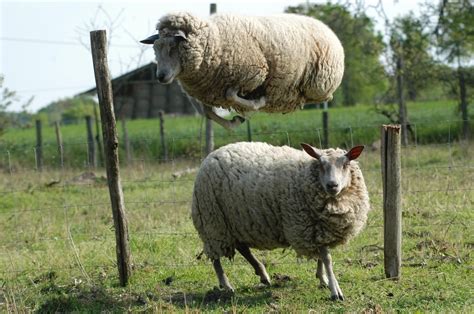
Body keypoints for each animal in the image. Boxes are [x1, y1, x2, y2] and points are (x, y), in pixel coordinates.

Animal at [141, 11, 344, 128]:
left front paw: (255, 105)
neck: (215, 41)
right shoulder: (209, 93)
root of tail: (325, 26)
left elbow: (233, 96)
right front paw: (234, 122)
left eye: (172, 47)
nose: (160, 77)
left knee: (322, 96)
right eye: (155, 48)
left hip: (319, 85)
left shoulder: (253, 74)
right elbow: (208, 113)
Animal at [192, 142, 370, 300]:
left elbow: (321, 257)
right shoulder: (310, 226)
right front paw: (335, 290)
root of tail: (211, 155)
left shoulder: (319, 229)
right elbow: (327, 259)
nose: (332, 185)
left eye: (345, 164)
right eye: (320, 164)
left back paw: (263, 275)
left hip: (235, 222)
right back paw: (227, 285)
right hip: (212, 222)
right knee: (216, 258)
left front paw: (322, 279)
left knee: (243, 248)